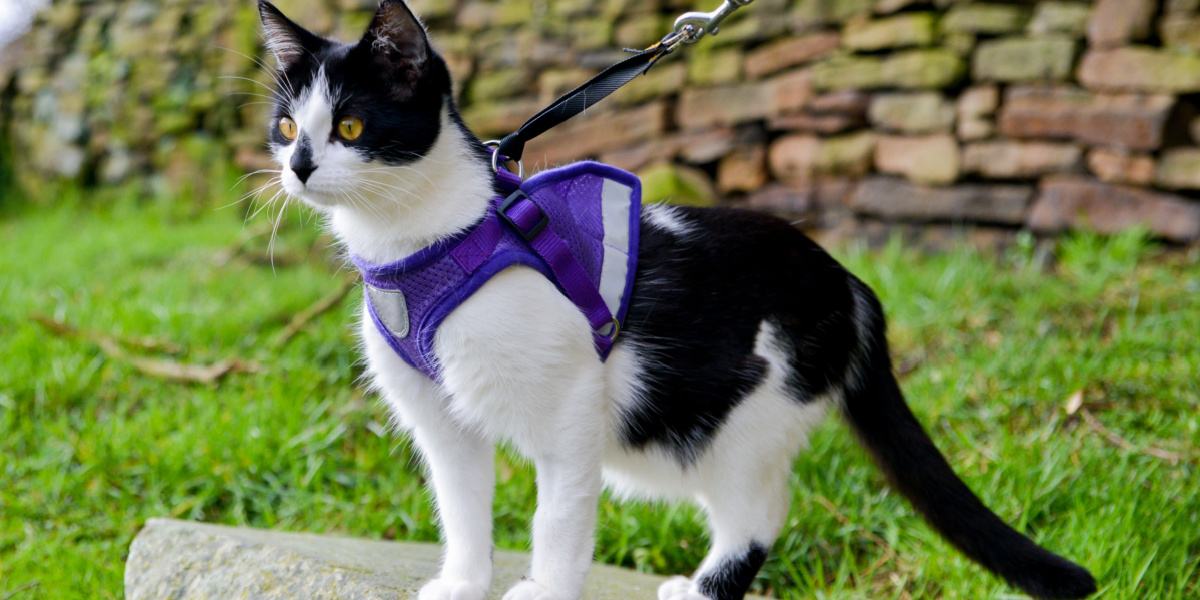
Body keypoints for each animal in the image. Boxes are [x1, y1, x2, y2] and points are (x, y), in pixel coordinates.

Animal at [260, 1, 1099, 600]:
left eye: (350, 125)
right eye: (286, 126)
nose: (298, 166)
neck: (425, 244)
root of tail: (848, 281)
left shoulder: (571, 401)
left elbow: (557, 515)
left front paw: (546, 588)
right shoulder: (439, 419)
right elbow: (462, 506)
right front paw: (464, 584)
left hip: (745, 415)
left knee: (758, 513)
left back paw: (702, 591)